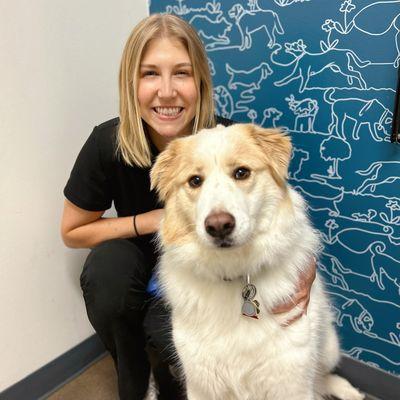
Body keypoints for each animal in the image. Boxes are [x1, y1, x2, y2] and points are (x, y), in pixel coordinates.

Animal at [151, 123, 366, 398]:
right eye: (195, 181)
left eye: (241, 173)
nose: (218, 226)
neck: (235, 274)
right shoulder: (201, 383)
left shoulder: (292, 381)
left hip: (328, 347)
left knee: (321, 376)